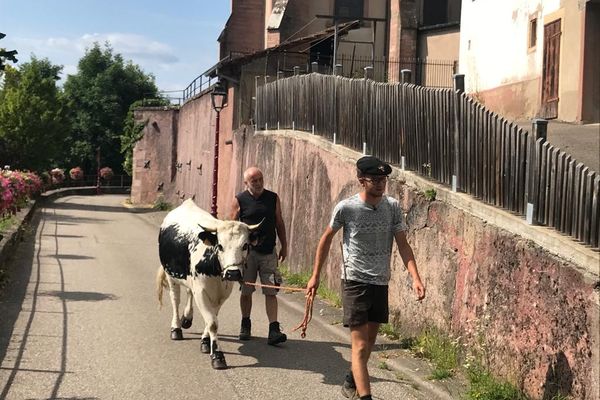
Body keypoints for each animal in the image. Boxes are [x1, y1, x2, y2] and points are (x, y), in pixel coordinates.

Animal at [155, 198, 260, 370]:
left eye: (245, 245)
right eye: (220, 246)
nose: (232, 273)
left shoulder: (222, 295)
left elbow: (212, 318)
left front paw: (205, 342)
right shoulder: (201, 292)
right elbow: (212, 323)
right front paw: (217, 355)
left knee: (188, 293)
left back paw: (187, 318)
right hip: (171, 276)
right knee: (175, 300)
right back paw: (176, 328)